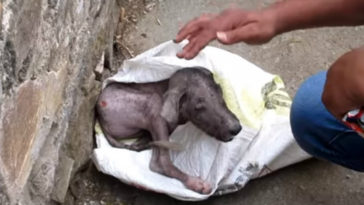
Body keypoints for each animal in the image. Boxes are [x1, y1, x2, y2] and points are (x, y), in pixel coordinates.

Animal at [96, 67, 242, 194]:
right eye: (198, 106)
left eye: (221, 93)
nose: (236, 128)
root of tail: (99, 114)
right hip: (152, 103)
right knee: (160, 162)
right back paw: (195, 183)